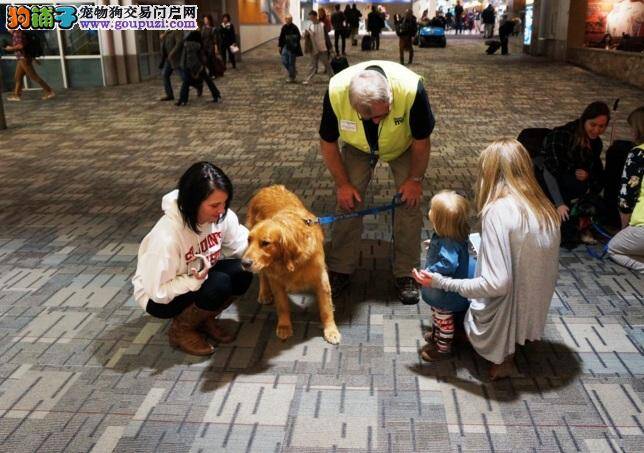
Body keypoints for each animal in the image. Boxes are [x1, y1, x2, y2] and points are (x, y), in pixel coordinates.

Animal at [242, 184, 342, 342]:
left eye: (265, 243)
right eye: (249, 240)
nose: (244, 263)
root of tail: (268, 188)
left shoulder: (321, 279)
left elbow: (326, 309)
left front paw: (331, 330)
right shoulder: (276, 280)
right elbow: (282, 306)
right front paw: (284, 326)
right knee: (263, 275)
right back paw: (264, 293)